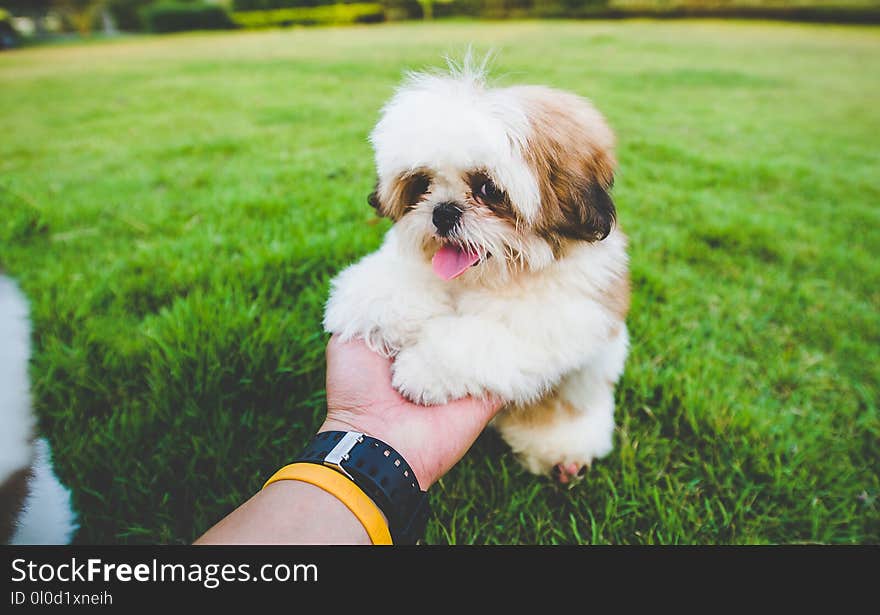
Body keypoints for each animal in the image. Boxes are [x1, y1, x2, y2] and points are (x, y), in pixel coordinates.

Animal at [324, 62, 624, 486]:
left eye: (489, 189)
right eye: (421, 184)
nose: (443, 211)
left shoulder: (554, 317)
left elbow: (478, 336)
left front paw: (424, 368)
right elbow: (388, 283)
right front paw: (376, 310)